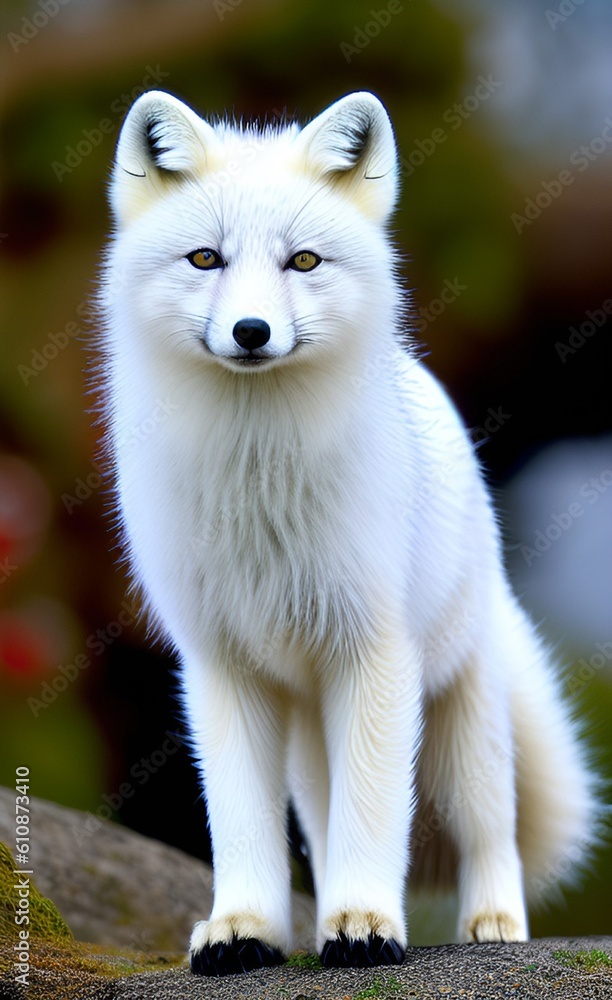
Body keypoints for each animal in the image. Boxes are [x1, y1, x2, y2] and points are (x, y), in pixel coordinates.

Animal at [99, 89, 598, 976]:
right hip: (307, 733)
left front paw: (365, 925)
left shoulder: (374, 649)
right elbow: (241, 822)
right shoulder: (218, 662)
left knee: (489, 830)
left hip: (458, 718)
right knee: (324, 823)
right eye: (205, 259)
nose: (252, 332)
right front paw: (246, 929)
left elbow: (377, 812)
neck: (257, 477)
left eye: (303, 262)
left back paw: (493, 925)